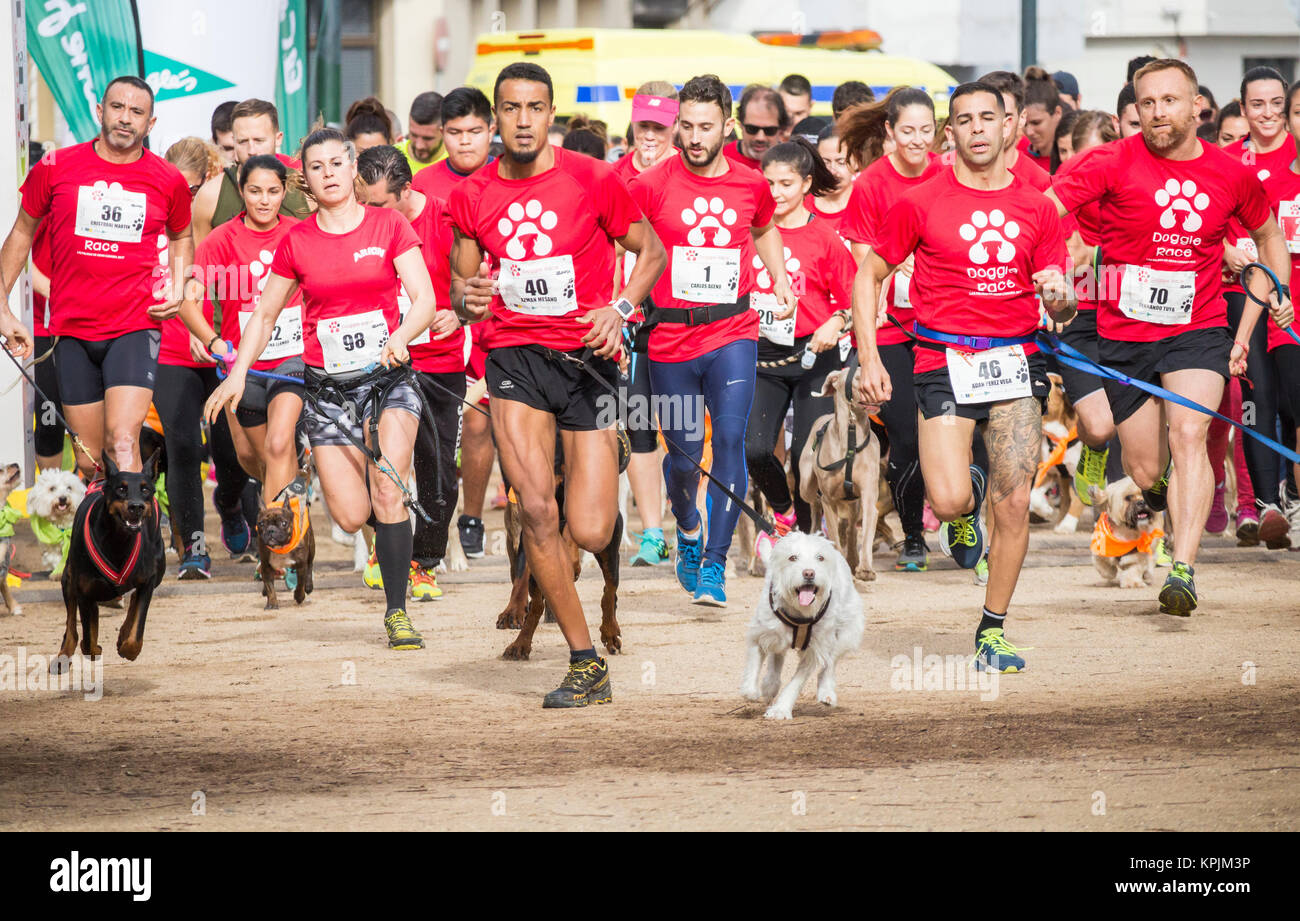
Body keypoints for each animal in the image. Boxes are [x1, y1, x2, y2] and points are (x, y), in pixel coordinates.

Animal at [54, 447, 166, 671]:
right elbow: (88, 639)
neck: (117, 541)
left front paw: (127, 648)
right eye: (121, 489)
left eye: (145, 490)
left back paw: (122, 634)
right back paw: (64, 654)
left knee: (133, 599)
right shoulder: (83, 589)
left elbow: (137, 628)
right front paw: (94, 648)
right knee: (72, 623)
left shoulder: (148, 580)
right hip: (68, 578)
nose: (136, 506)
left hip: (159, 568)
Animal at [256, 476, 314, 611]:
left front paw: (299, 596)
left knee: (310, 565)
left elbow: (300, 584)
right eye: (261, 524)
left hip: (311, 549)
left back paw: (309, 586)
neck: (281, 547)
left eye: (283, 523)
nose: (271, 529)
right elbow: (270, 588)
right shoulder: (266, 566)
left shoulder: (301, 565)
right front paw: (272, 603)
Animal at [743, 533, 863, 718]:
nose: (809, 573)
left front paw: (780, 709)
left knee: (829, 664)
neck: (800, 612)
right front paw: (751, 691)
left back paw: (826, 692)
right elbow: (754, 664)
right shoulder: (761, 633)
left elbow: (796, 683)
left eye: (820, 557)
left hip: (846, 633)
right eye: (792, 557)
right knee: (777, 656)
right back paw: (770, 684)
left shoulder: (814, 650)